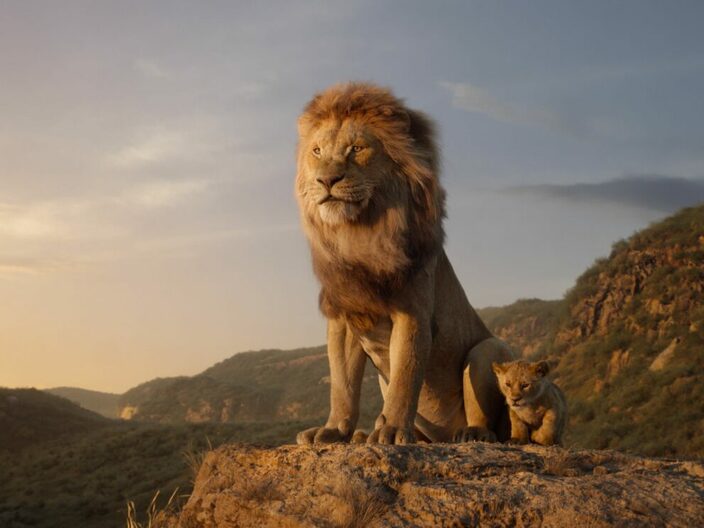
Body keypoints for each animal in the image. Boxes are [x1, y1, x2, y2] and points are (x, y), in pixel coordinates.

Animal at [294, 82, 516, 445]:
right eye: (317, 151)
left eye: (357, 149)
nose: (326, 180)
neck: (359, 234)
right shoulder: (344, 316)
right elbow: (342, 384)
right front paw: (334, 430)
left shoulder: (412, 311)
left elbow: (405, 376)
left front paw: (393, 430)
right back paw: (364, 435)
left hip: (488, 349)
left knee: (488, 419)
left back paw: (471, 433)